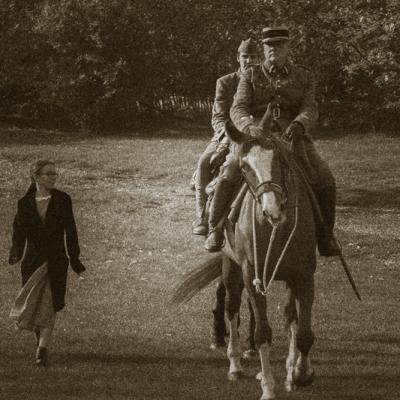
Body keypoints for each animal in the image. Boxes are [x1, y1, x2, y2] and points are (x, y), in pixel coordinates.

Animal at [173, 123, 318, 398]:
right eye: (244, 168)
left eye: (279, 161)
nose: (272, 210)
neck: (275, 230)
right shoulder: (251, 272)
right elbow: (263, 332)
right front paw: (268, 388)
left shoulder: (303, 275)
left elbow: (300, 328)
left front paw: (298, 373)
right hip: (232, 266)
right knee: (231, 306)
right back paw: (235, 363)